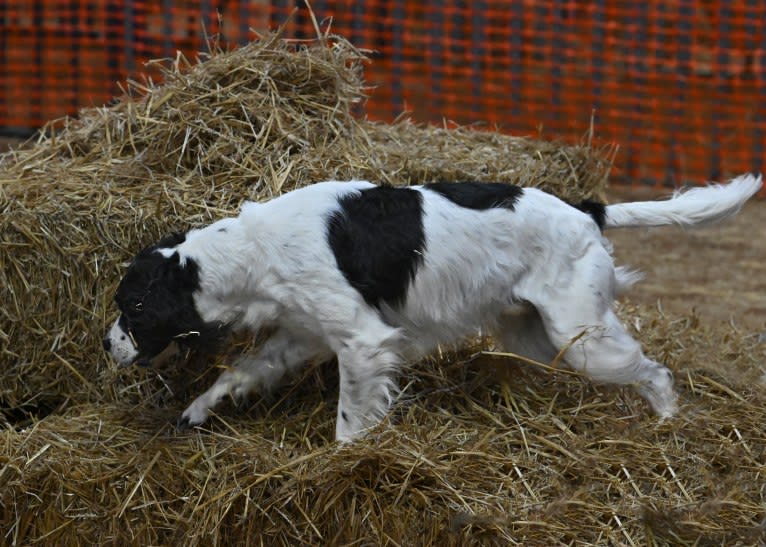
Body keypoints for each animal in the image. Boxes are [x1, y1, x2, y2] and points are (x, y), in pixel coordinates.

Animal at [105, 178, 764, 444]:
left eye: (133, 305)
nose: (109, 345)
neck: (252, 249)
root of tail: (585, 209)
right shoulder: (303, 335)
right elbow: (237, 374)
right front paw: (195, 411)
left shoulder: (362, 341)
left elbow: (349, 420)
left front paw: (346, 459)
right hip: (537, 336)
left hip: (582, 335)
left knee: (656, 372)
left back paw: (669, 423)